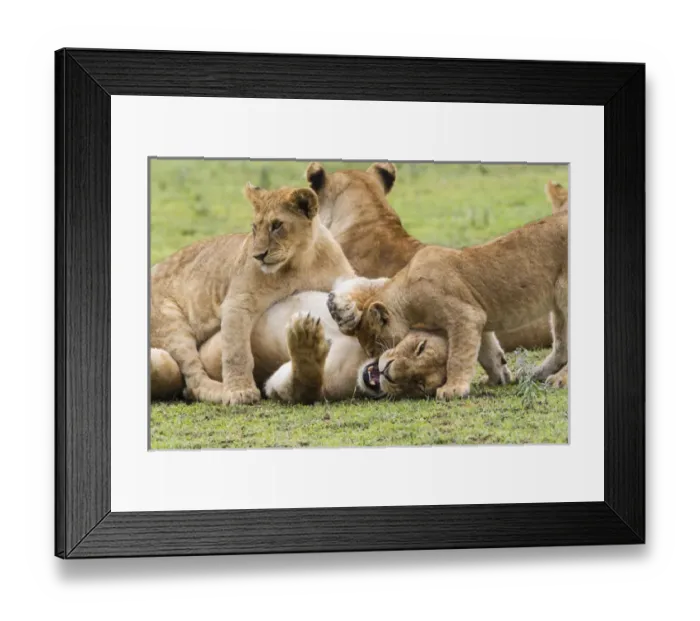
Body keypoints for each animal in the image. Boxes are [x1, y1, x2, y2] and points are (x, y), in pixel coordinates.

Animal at [150, 184, 355, 405]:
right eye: (255, 228)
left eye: (276, 225)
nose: (258, 255)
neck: (300, 262)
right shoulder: (238, 302)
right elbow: (236, 352)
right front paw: (240, 392)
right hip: (171, 324)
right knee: (193, 380)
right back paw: (220, 391)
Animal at [327, 213, 568, 400]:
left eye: (375, 347)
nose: (380, 368)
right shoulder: (478, 315)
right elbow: (489, 353)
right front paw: (498, 377)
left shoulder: (466, 315)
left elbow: (459, 356)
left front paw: (453, 389)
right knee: (561, 346)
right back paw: (536, 374)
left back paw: (559, 379)